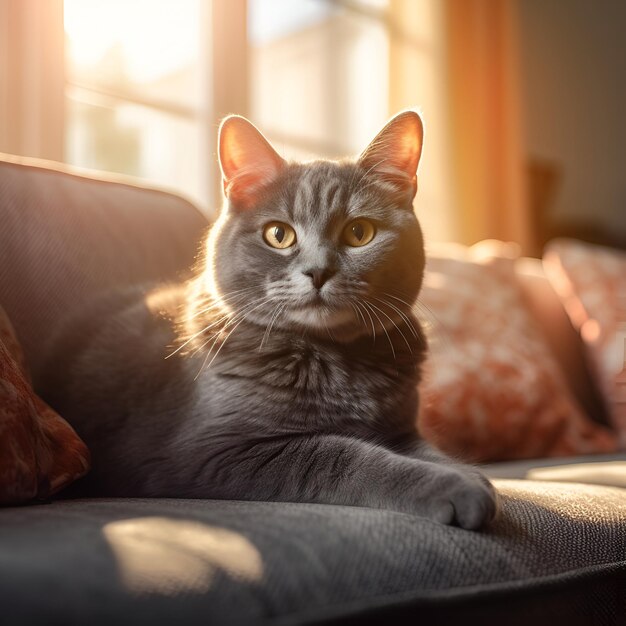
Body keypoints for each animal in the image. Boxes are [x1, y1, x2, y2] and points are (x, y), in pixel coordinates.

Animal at [40, 111, 498, 528]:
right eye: (279, 235)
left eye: (360, 233)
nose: (318, 271)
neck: (337, 361)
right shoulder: (218, 451)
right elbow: (344, 456)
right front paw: (455, 487)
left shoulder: (403, 429)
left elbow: (429, 451)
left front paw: (469, 475)